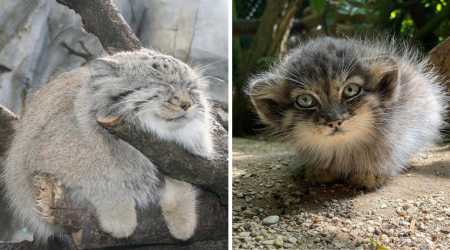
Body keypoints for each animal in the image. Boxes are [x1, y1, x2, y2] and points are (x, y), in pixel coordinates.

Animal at [1, 48, 215, 244]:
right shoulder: (43, 161)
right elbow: (100, 177)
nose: (187, 104)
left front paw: (184, 219)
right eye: (162, 84)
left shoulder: (181, 163)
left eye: (190, 88)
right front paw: (119, 217)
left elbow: (181, 184)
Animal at [250, 36, 446, 189]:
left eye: (351, 90)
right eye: (305, 100)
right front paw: (318, 169)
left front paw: (372, 171)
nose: (334, 121)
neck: (343, 150)